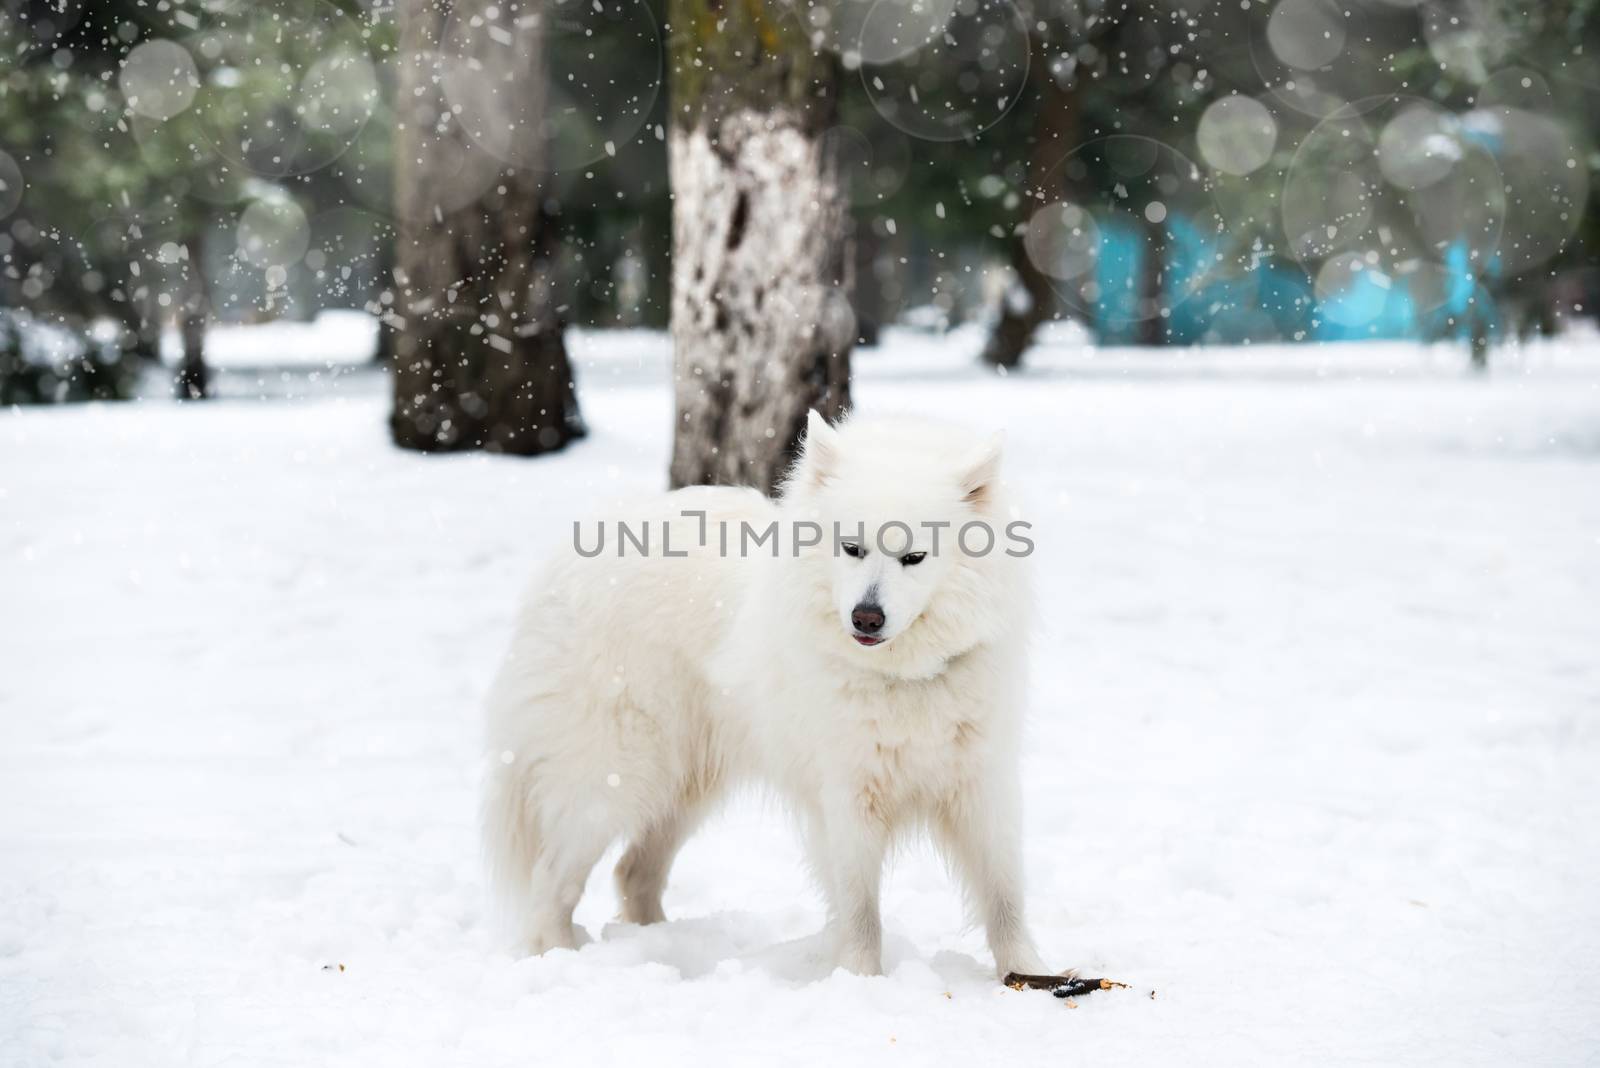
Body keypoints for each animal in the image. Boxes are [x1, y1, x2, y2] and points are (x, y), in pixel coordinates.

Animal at [480, 412, 1049, 978]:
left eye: (913, 557)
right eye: (852, 548)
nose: (866, 617)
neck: (901, 677)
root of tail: (559, 568)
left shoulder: (983, 790)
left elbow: (1004, 897)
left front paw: (1025, 975)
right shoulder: (846, 798)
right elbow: (861, 910)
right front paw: (861, 980)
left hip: (683, 786)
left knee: (632, 870)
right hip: (611, 781)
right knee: (552, 881)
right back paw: (558, 957)